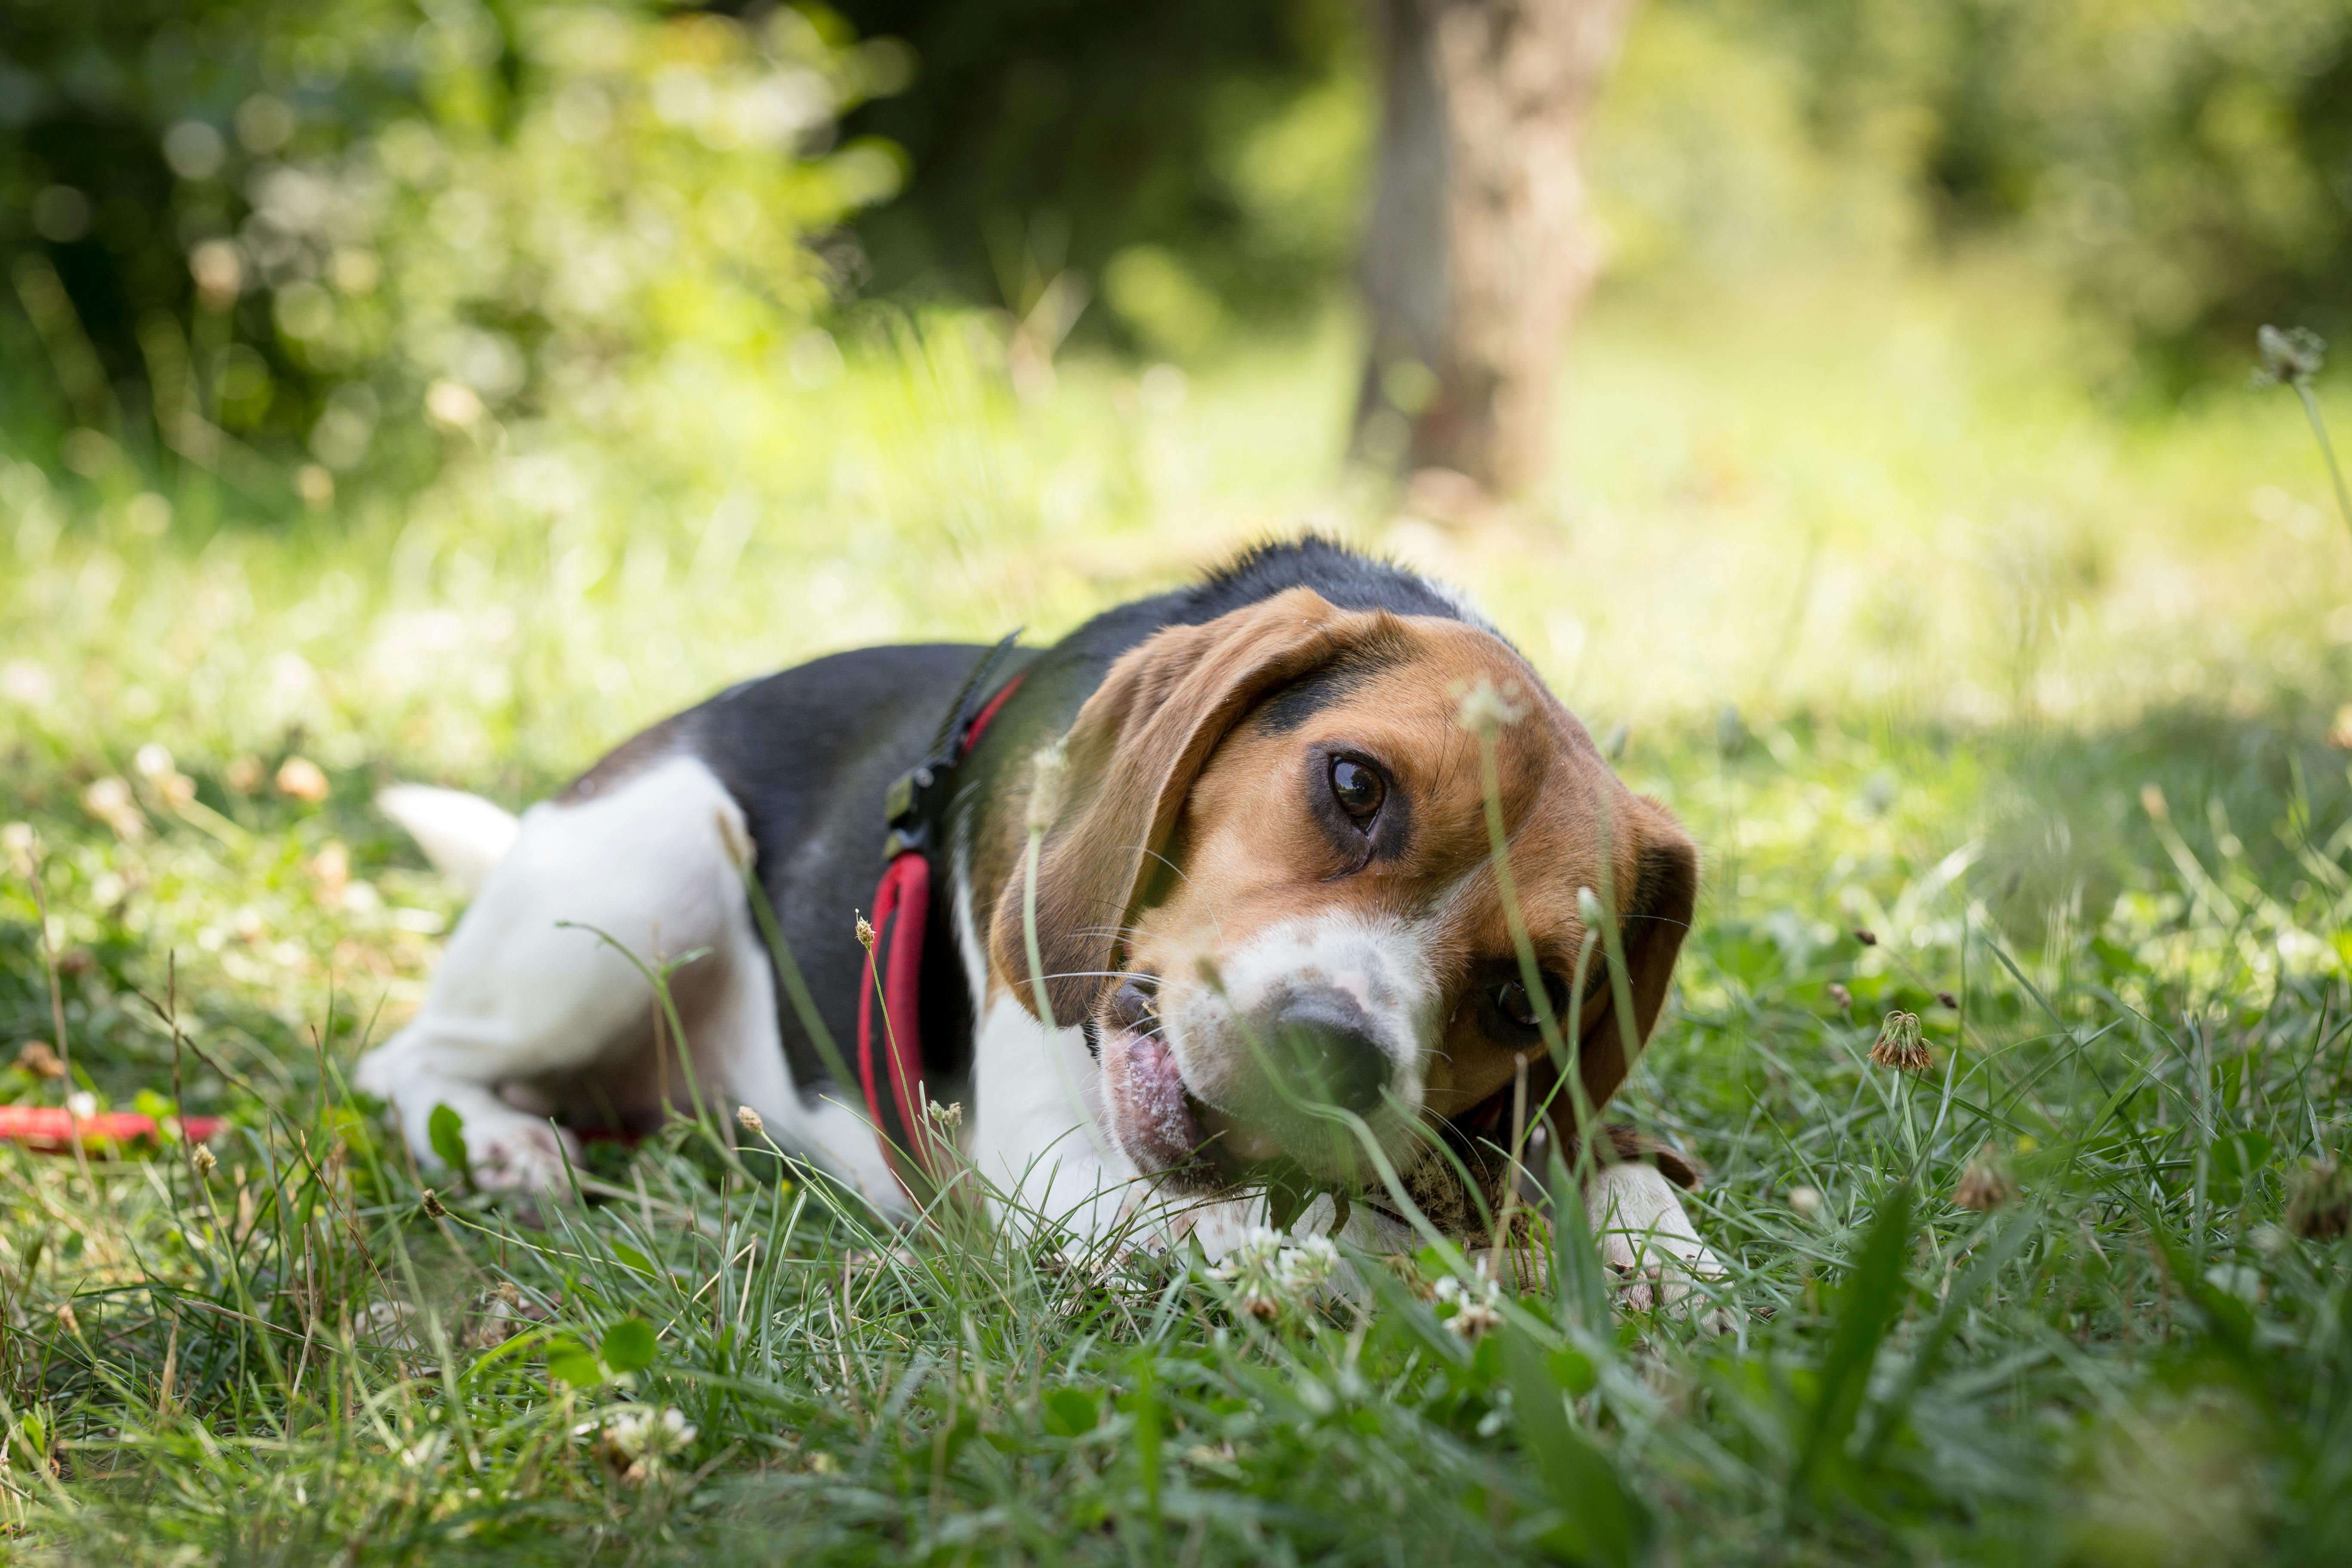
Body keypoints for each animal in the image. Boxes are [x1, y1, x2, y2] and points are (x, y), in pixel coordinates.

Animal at [362, 540, 1731, 1298]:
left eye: (1524, 1001)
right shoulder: (1050, 1173)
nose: (1330, 1055)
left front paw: (1665, 1266)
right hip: (651, 877)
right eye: (1355, 785)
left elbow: (1607, 1174)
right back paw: (503, 1145)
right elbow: (1337, 1249)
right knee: (404, 1059)